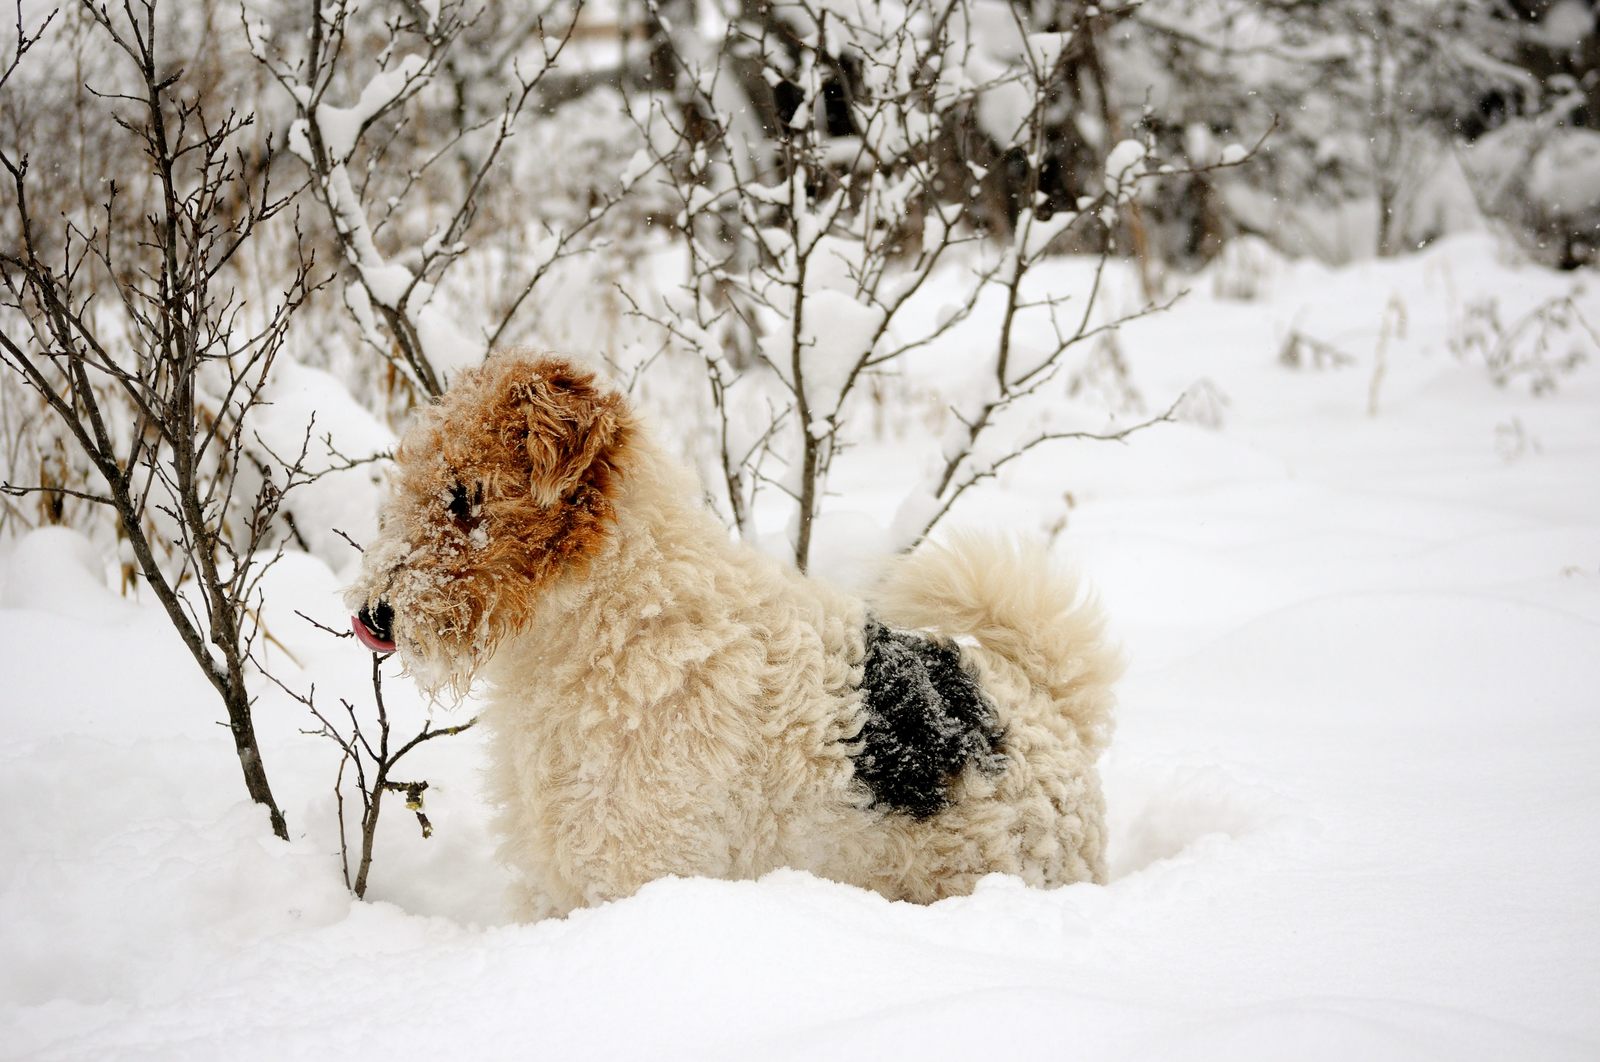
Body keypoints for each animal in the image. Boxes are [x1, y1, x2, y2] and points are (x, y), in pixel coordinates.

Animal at [347, 351, 1126, 914]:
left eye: (466, 494)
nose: (371, 616)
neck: (621, 613)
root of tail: (1051, 707)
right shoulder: (558, 872)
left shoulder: (642, 865)